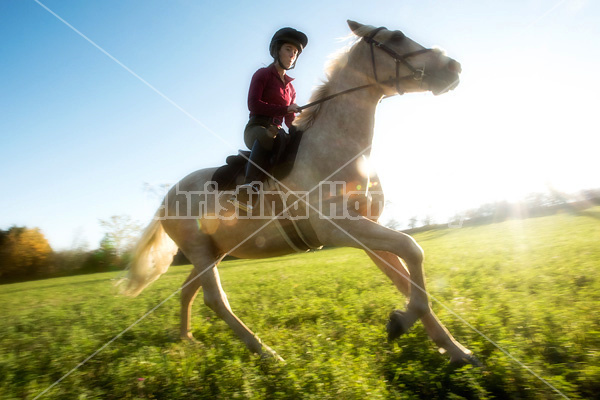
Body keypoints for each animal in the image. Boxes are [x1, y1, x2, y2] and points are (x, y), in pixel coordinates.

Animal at [122, 21, 478, 366]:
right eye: (398, 36)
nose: (454, 67)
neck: (336, 147)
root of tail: (166, 198)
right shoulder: (339, 229)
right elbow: (413, 250)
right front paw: (400, 323)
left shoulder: (368, 231)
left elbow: (406, 279)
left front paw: (456, 350)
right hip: (200, 251)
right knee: (215, 299)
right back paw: (265, 352)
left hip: (213, 252)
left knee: (188, 291)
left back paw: (187, 340)